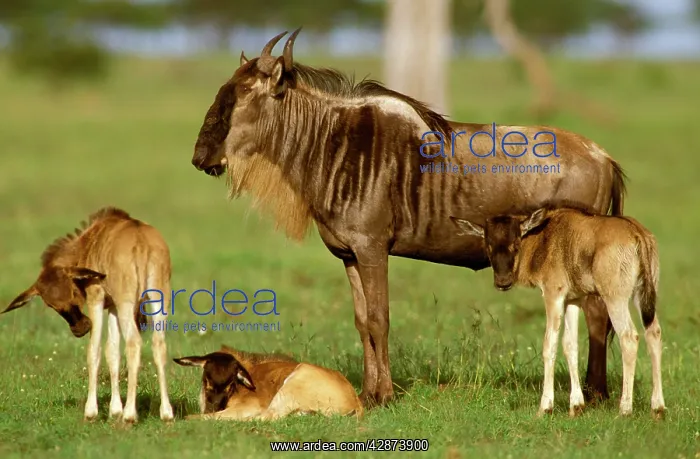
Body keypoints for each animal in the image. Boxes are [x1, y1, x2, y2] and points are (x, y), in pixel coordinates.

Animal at [2, 207, 174, 423]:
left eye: (73, 292)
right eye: (50, 304)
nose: (80, 328)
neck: (92, 239)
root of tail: (141, 241)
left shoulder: (97, 299)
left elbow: (94, 350)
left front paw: (92, 412)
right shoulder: (113, 307)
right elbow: (112, 351)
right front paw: (114, 411)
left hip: (127, 303)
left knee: (134, 342)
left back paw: (129, 415)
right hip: (159, 299)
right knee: (159, 345)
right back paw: (166, 413)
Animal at [173, 345, 363, 421]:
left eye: (231, 384)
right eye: (206, 378)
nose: (212, 407)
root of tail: (356, 402)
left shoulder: (250, 405)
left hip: (290, 388)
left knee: (267, 416)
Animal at [450, 203, 665, 418]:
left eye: (516, 244)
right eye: (488, 245)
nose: (503, 282)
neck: (545, 236)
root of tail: (637, 233)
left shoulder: (553, 295)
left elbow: (549, 345)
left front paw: (545, 407)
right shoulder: (573, 300)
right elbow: (570, 345)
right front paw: (576, 406)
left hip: (615, 297)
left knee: (629, 337)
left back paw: (625, 409)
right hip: (643, 294)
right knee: (653, 333)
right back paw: (658, 408)